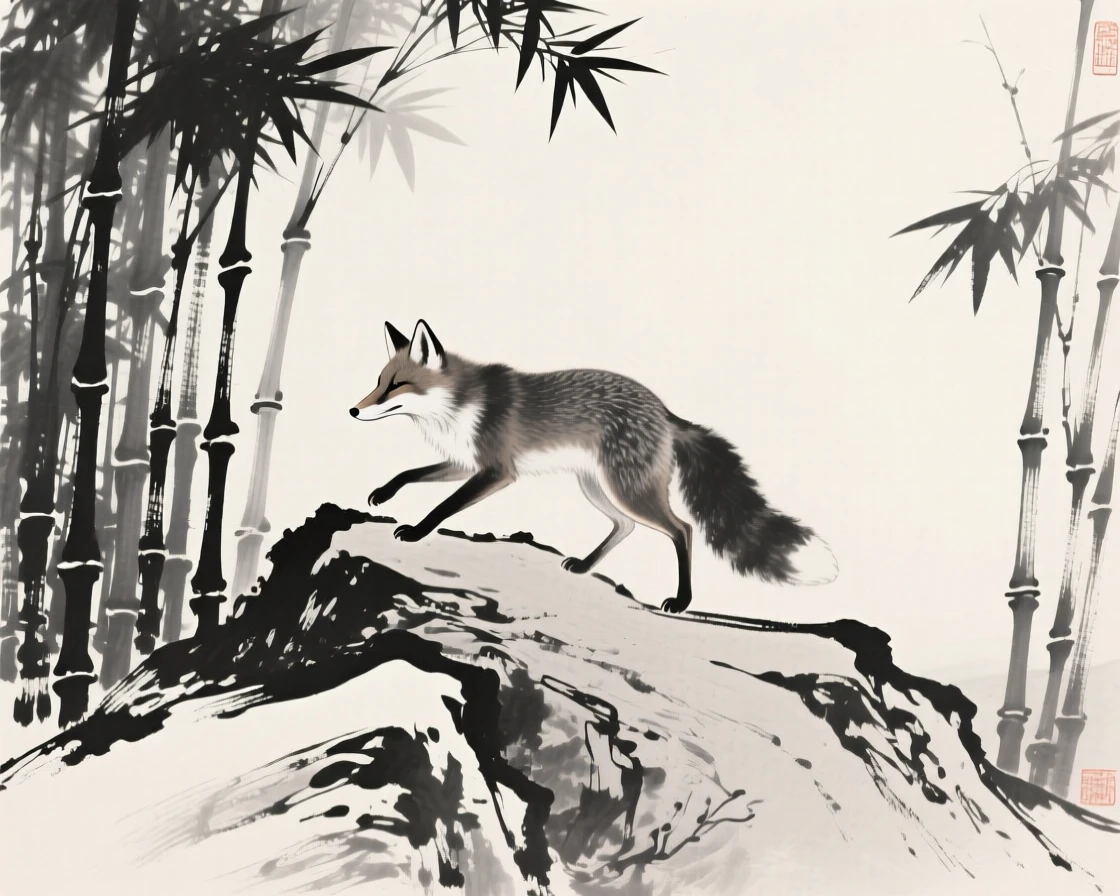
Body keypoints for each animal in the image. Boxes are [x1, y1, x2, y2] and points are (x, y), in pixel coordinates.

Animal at [350, 319, 838, 613]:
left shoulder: (497, 471)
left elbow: (442, 508)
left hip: (627, 490)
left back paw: (681, 601)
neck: (460, 406)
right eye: (378, 382)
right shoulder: (466, 462)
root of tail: (665, 412)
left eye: (397, 385)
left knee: (683, 529)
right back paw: (585, 568)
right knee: (626, 527)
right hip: (598, 489)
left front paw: (416, 532)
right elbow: (409, 474)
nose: (353, 410)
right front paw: (384, 494)